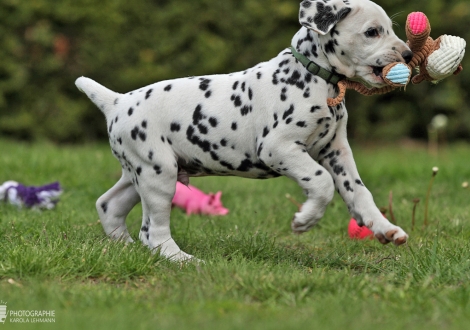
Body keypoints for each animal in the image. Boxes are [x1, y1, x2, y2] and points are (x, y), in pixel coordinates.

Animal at [75, 0, 410, 262]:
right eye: (372, 32)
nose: (407, 55)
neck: (313, 76)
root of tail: (116, 101)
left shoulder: (336, 151)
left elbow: (359, 192)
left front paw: (384, 228)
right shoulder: (279, 148)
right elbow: (321, 181)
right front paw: (305, 219)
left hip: (141, 173)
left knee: (109, 204)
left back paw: (123, 247)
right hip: (158, 175)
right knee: (152, 232)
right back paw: (182, 260)